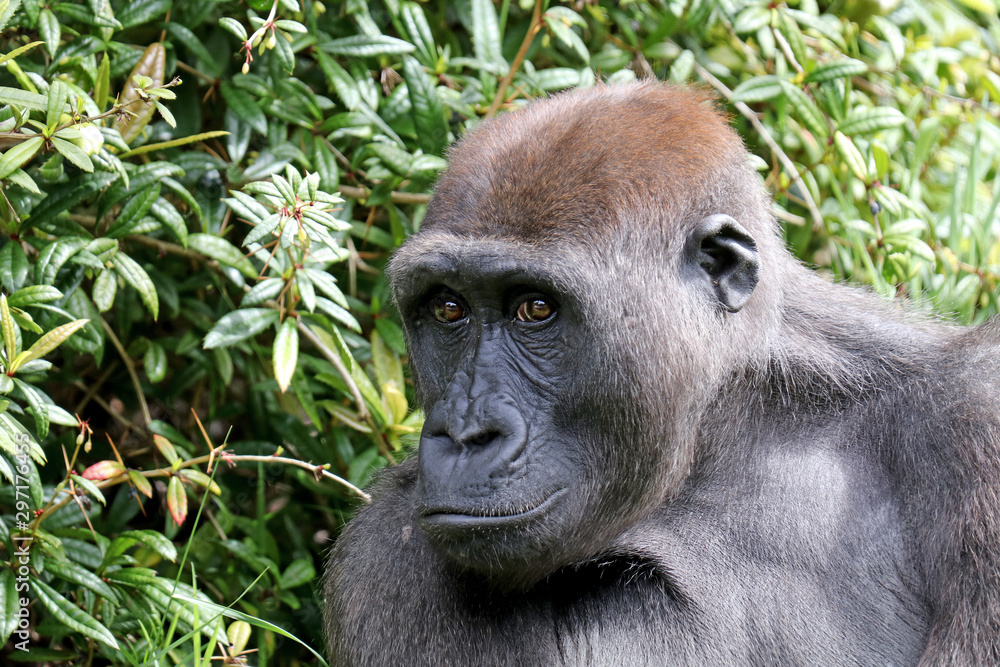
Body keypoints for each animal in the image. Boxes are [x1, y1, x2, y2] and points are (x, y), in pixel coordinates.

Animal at [323, 82, 1000, 666]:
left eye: (535, 308)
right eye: (448, 309)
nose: (465, 433)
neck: (723, 428)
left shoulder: (976, 411)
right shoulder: (386, 551)